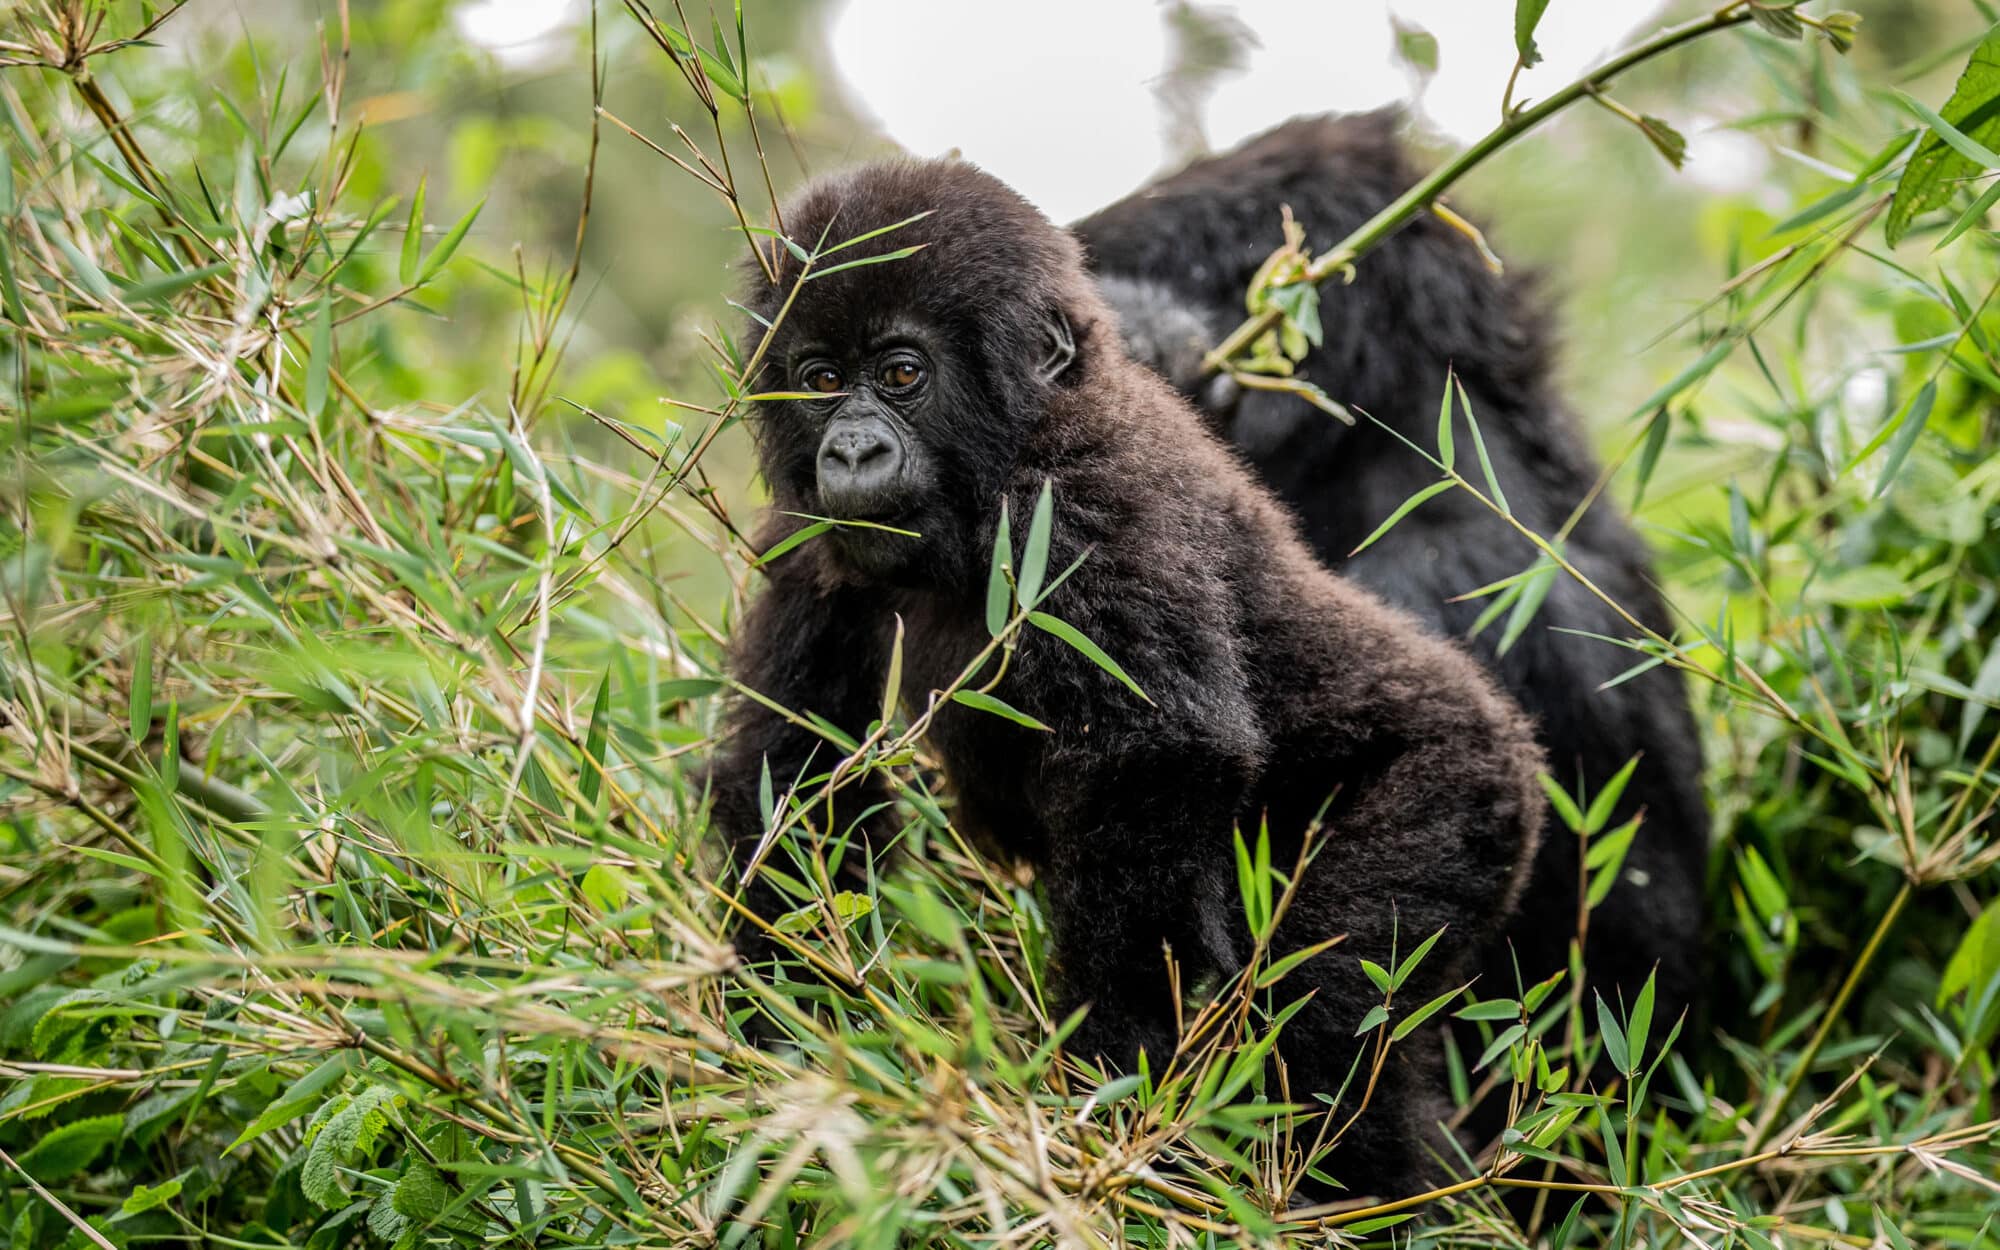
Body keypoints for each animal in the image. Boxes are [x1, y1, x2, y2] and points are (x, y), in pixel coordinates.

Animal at [703, 155, 1547, 1198]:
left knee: (1334, 1009)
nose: (851, 449)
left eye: (902, 374)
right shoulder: (805, 533)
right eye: (819, 380)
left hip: (1466, 788)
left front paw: (1112, 1084)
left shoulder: (1082, 502)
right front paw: (780, 1020)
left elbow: (1152, 763)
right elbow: (794, 771)